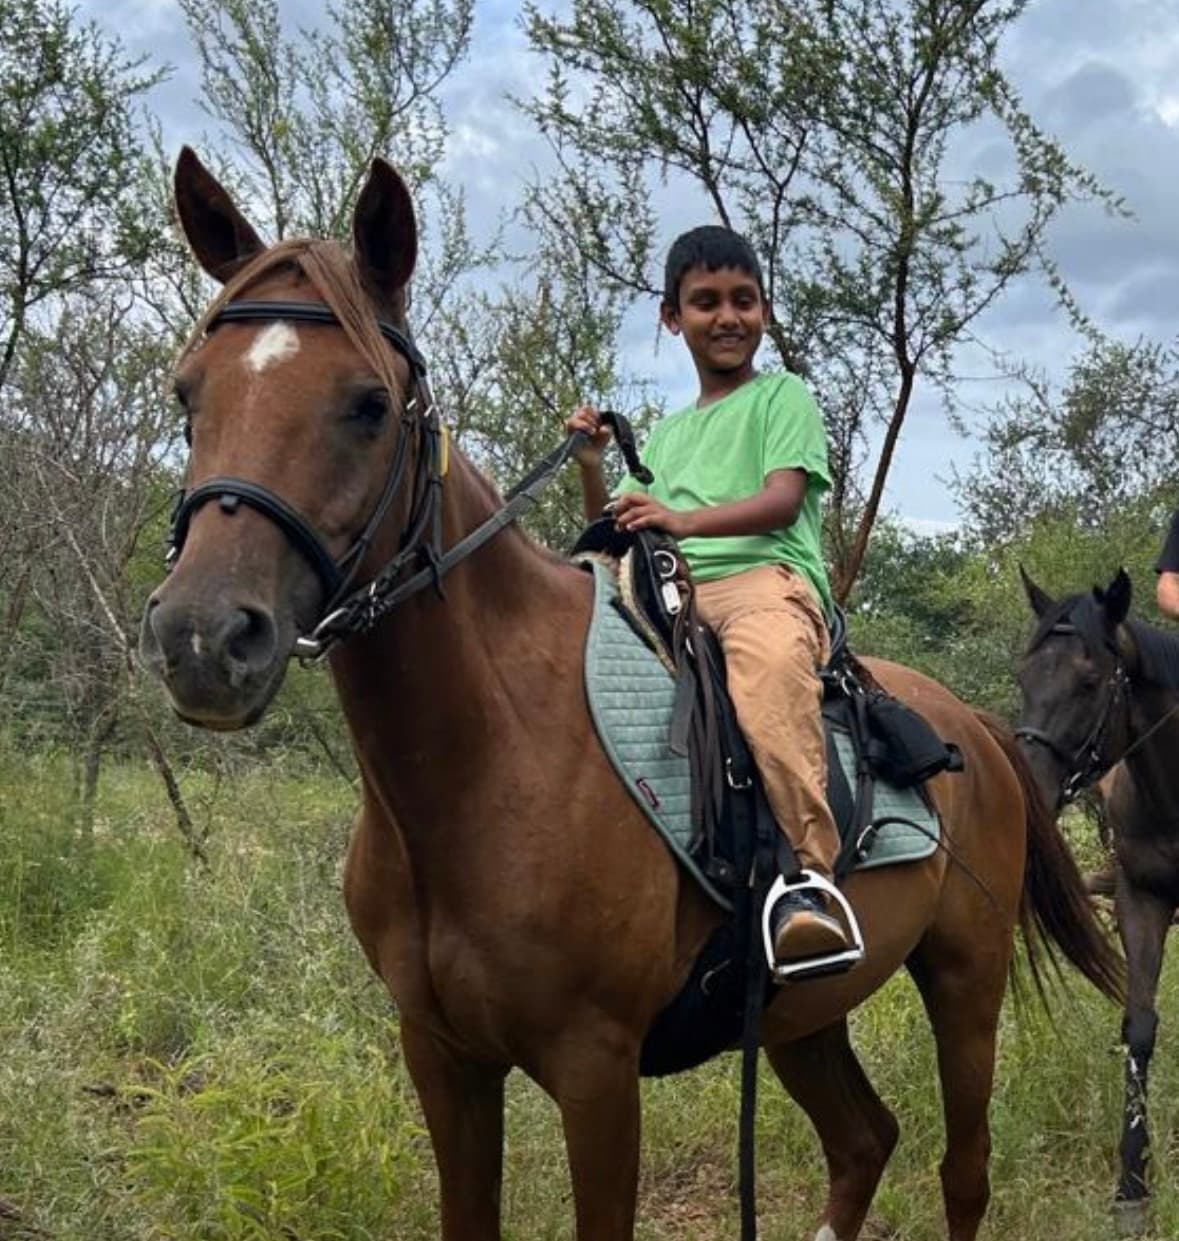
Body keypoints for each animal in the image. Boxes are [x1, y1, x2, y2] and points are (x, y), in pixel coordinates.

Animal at [140, 146, 1122, 1241]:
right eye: (186, 394)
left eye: (367, 402)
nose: (202, 635)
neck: (490, 759)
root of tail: (980, 732)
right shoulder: (441, 1055)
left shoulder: (595, 1068)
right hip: (801, 1010)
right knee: (864, 1138)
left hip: (964, 980)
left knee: (963, 1168)